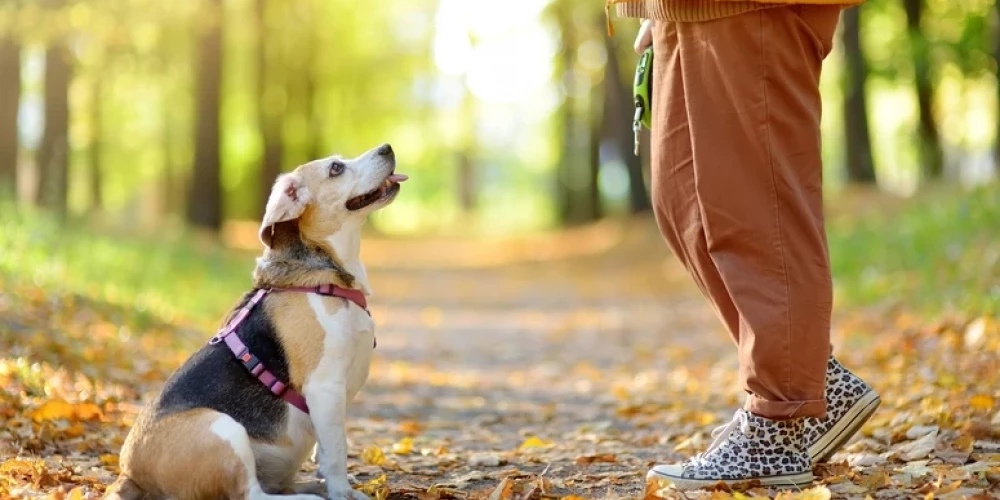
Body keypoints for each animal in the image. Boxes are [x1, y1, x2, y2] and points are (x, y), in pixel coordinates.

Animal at [104, 143, 406, 498]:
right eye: (336, 168)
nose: (387, 148)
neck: (325, 278)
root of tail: (129, 473)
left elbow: (326, 449)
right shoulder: (325, 387)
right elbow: (336, 451)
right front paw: (342, 492)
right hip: (223, 428)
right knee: (252, 494)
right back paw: (309, 495)